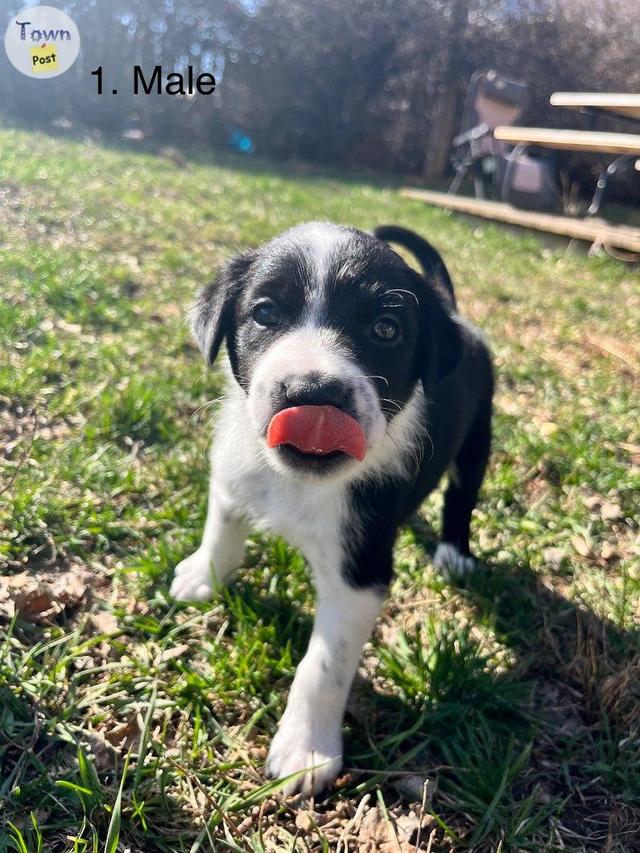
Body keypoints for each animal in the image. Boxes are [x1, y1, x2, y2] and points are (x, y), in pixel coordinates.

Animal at [170, 223, 496, 796]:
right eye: (265, 314)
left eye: (386, 329)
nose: (313, 393)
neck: (297, 485)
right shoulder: (233, 468)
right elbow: (223, 524)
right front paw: (202, 576)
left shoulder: (360, 570)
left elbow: (322, 665)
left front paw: (305, 751)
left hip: (478, 438)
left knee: (461, 497)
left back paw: (455, 553)